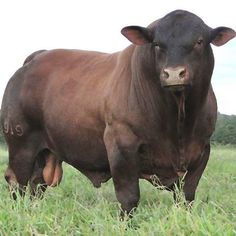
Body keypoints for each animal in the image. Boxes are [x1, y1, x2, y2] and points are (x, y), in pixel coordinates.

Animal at [1, 10, 236, 215]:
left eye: (199, 41)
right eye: (157, 44)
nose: (174, 73)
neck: (178, 122)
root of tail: (34, 59)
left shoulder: (202, 149)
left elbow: (186, 196)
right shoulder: (121, 144)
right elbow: (129, 197)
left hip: (45, 152)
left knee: (36, 183)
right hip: (21, 143)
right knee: (16, 181)